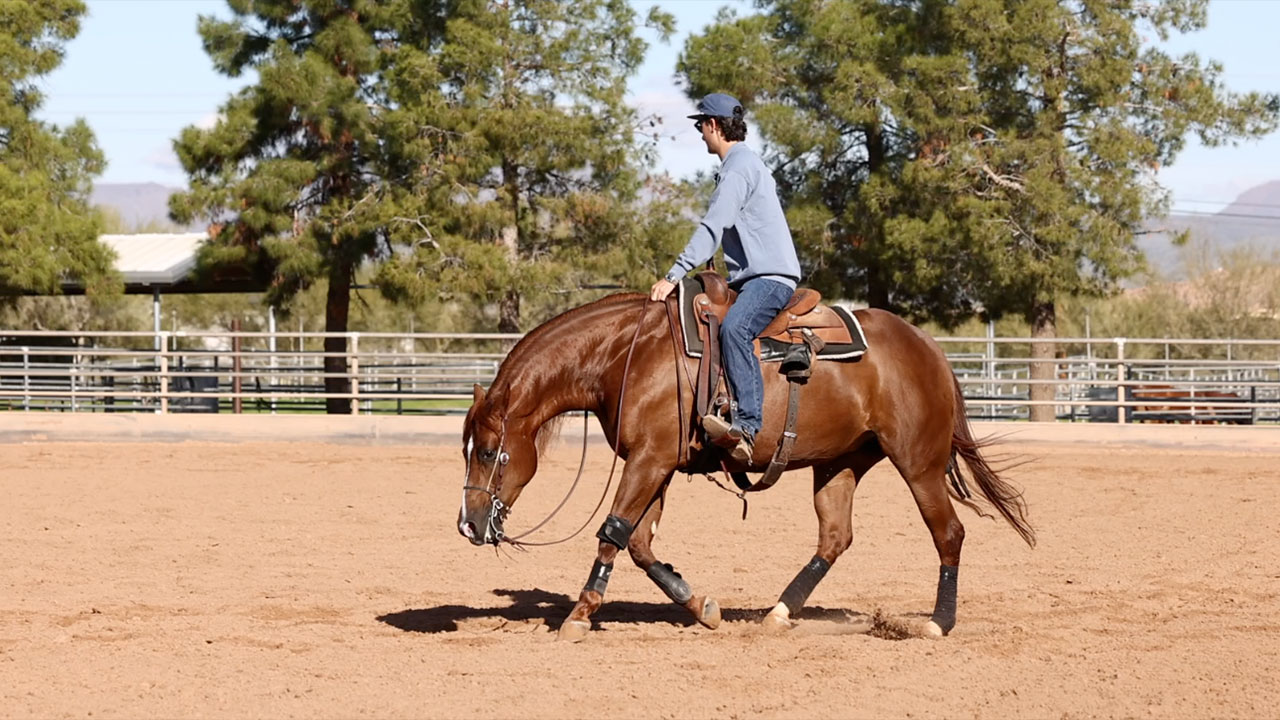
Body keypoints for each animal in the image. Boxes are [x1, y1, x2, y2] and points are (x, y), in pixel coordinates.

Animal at [458, 292, 1035, 641]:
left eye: (487, 450)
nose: (468, 525)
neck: (626, 353)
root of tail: (930, 349)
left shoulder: (649, 460)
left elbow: (611, 533)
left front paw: (579, 616)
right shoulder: (655, 462)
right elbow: (639, 544)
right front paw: (701, 606)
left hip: (919, 463)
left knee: (949, 533)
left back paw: (939, 622)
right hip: (840, 465)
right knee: (835, 538)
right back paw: (779, 613)